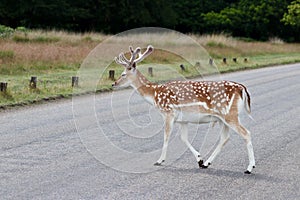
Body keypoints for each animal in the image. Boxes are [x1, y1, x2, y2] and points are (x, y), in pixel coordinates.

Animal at [112, 45, 255, 173]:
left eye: (123, 74)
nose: (113, 84)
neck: (154, 94)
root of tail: (242, 88)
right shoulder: (183, 120)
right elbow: (183, 138)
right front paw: (199, 160)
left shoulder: (168, 113)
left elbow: (166, 136)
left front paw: (159, 160)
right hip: (221, 118)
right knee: (225, 138)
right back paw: (207, 163)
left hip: (230, 114)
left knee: (246, 133)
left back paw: (249, 167)